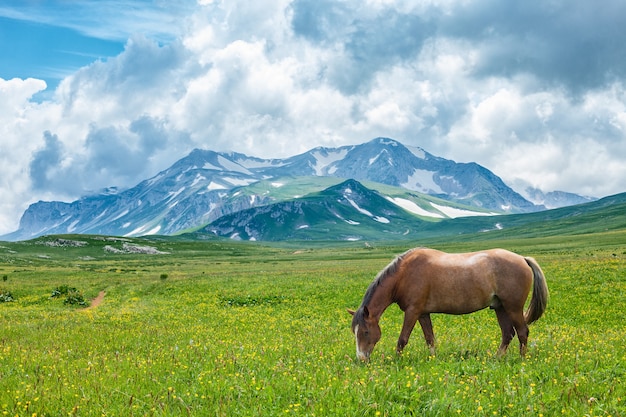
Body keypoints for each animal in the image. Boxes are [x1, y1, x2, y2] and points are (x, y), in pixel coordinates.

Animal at [346, 247, 544, 360]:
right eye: (354, 331)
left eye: (365, 331)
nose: (361, 359)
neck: (403, 275)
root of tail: (522, 259)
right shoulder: (423, 313)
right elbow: (430, 339)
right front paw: (433, 360)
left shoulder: (412, 311)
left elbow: (402, 339)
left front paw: (397, 361)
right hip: (500, 307)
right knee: (507, 334)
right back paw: (497, 358)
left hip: (513, 308)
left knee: (522, 332)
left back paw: (521, 360)